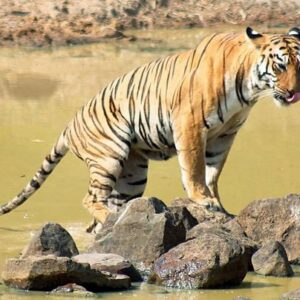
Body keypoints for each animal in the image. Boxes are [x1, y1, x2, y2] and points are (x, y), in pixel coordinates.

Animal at [0, 27, 300, 231]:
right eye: (280, 66)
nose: (293, 92)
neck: (249, 88)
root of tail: (68, 126)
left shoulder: (225, 134)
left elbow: (213, 172)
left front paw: (218, 204)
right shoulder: (190, 123)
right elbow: (194, 167)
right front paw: (203, 199)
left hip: (132, 176)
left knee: (104, 213)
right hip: (109, 155)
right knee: (90, 198)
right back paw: (110, 219)